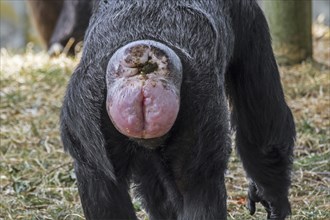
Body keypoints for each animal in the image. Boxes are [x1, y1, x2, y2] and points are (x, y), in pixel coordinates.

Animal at [59, 0, 296, 220]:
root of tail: (144, 70)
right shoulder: (248, 16)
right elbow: (263, 125)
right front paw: (272, 197)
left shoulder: (81, 109)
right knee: (199, 185)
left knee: (104, 183)